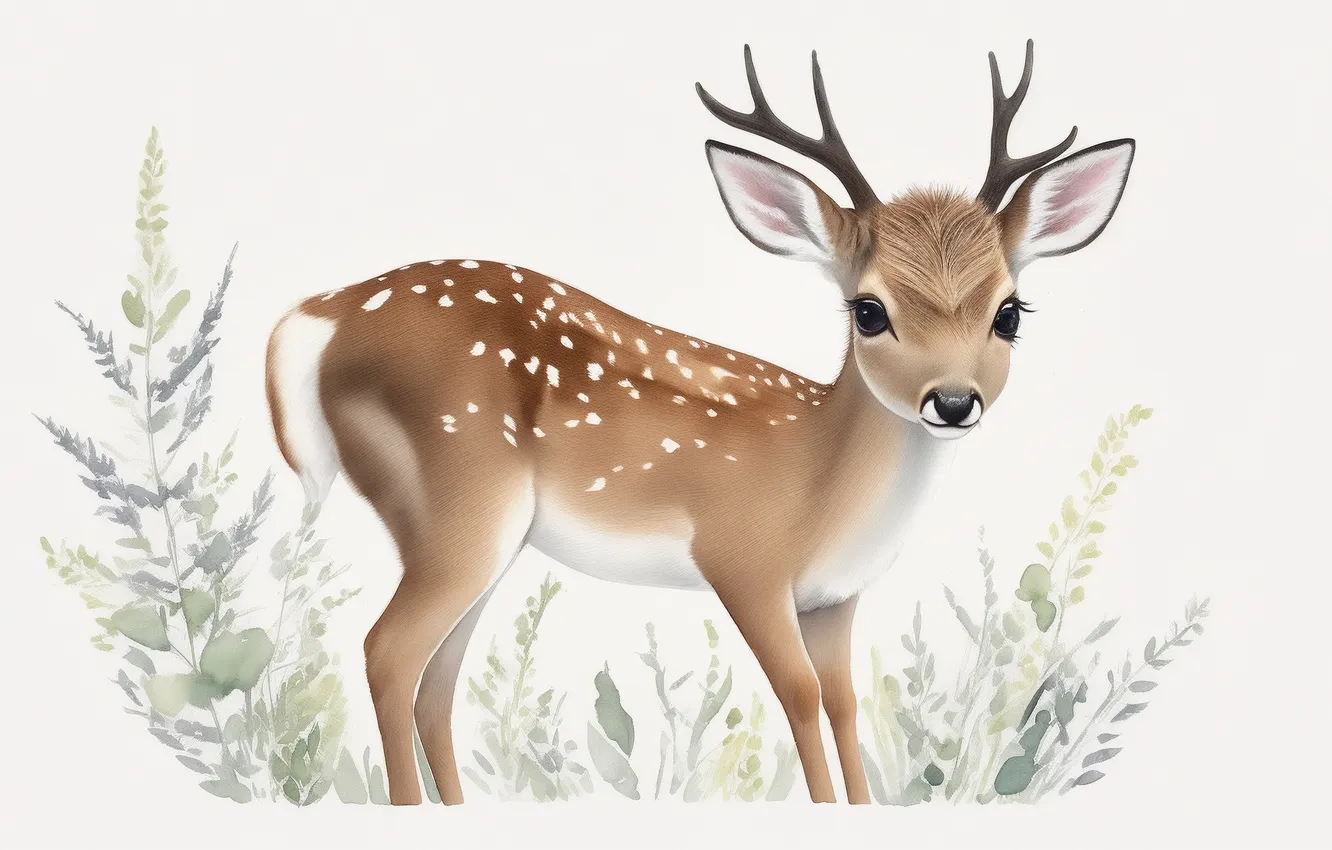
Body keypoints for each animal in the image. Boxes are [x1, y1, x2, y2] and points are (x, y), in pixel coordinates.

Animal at [264, 39, 1134, 805]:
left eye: (1010, 312)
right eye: (869, 310)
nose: (953, 401)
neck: (822, 490)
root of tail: (323, 315)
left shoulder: (835, 598)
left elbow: (844, 703)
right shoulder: (741, 559)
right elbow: (799, 696)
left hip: (478, 536)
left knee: (434, 680)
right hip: (460, 501)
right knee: (388, 652)